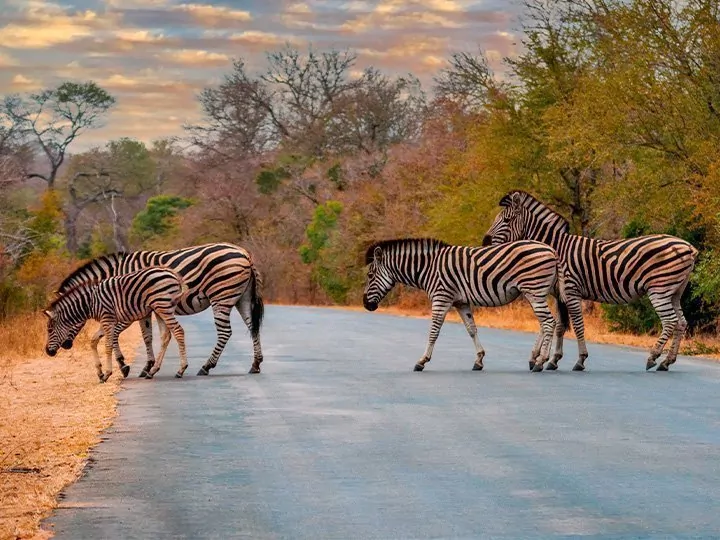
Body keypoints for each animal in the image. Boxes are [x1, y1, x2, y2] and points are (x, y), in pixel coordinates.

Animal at [44, 268, 188, 382]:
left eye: (50, 330)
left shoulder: (108, 319)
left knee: (178, 331)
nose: (48, 352)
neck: (90, 303)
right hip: (159, 309)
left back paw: (181, 370)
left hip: (163, 305)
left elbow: (108, 345)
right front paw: (100, 372)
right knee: (165, 336)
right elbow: (93, 341)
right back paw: (152, 371)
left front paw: (107, 373)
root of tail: (173, 274)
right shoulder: (106, 321)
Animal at [55, 243, 264, 378]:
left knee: (225, 332)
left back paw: (207, 366)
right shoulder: (142, 309)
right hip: (242, 297)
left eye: (61, 321)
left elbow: (116, 335)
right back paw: (255, 364)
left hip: (221, 296)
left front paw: (124, 365)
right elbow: (147, 336)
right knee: (253, 327)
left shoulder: (127, 310)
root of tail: (244, 253)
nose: (63, 347)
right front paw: (147, 366)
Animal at [362, 239, 560, 372]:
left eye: (370, 275)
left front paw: (422, 361)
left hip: (534, 290)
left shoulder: (441, 297)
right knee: (546, 323)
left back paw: (541, 361)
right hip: (538, 292)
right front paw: (479, 360)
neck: (428, 268)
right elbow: (471, 329)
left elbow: (434, 331)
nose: (365, 304)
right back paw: (535, 359)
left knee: (549, 322)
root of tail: (551, 250)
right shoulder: (461, 302)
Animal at [484, 192, 696, 374]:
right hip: (674, 292)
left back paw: (653, 357)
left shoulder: (570, 290)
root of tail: (688, 247)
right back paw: (666, 361)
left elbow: (576, 325)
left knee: (670, 321)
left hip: (659, 290)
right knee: (681, 322)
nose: (485, 242)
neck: (556, 249)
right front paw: (552, 360)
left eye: (506, 220)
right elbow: (560, 325)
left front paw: (579, 360)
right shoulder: (559, 294)